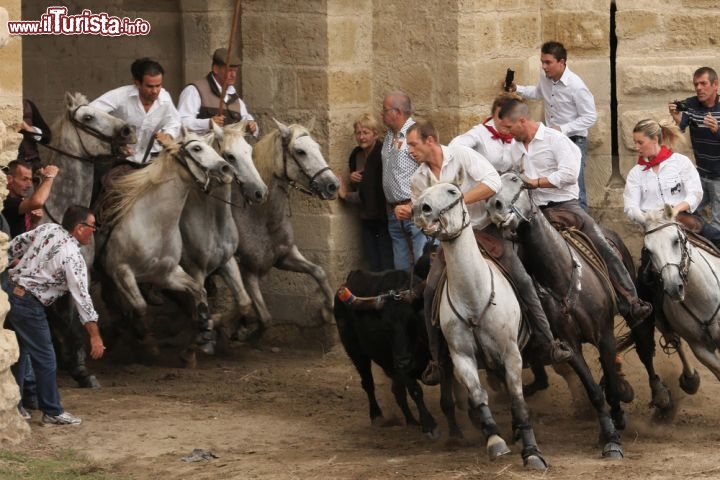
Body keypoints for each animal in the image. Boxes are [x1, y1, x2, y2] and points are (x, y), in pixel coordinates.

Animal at [97, 129, 233, 358]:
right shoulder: (121, 271)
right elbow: (140, 306)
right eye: (197, 148)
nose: (225, 168)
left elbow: (198, 291)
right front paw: (145, 338)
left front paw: (205, 334)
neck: (155, 224)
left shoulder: (165, 274)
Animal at [233, 120, 340, 342]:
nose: (333, 185)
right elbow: (265, 318)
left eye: (317, 147)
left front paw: (328, 311)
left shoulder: (285, 257)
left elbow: (319, 272)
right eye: (300, 151)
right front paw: (245, 332)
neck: (260, 216)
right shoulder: (248, 270)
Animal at [410, 182, 544, 470]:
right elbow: (478, 394)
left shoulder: (511, 353)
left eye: (452, 191)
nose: (421, 210)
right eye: (421, 192)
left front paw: (532, 452)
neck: (474, 295)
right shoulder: (462, 357)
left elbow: (517, 398)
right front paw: (494, 439)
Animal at [632, 206, 720, 390]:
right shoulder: (700, 349)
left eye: (675, 240)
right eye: (648, 250)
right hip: (659, 322)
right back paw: (690, 379)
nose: (673, 287)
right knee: (674, 341)